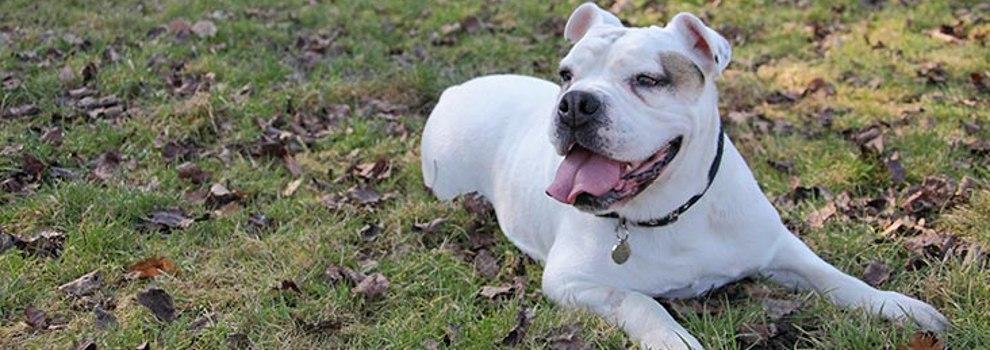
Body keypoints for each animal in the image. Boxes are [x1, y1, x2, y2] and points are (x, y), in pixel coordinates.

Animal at [418, 4, 944, 348]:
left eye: (648, 80)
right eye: (566, 74)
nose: (575, 102)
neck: (671, 211)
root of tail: (456, 89)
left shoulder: (780, 249)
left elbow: (837, 278)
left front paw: (898, 306)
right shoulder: (572, 283)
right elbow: (639, 302)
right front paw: (674, 338)